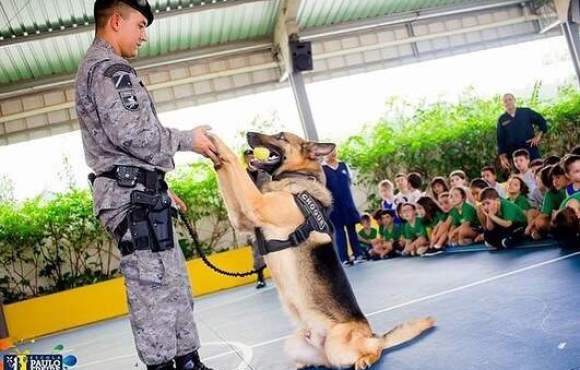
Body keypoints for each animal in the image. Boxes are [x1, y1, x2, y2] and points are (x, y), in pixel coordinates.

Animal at [210, 133, 436, 370]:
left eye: (280, 136)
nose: (248, 138)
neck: (298, 178)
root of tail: (372, 334)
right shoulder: (240, 218)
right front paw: (214, 155)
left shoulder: (256, 204)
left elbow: (231, 162)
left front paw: (214, 141)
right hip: (294, 345)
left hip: (338, 347)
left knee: (376, 348)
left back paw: (365, 359)